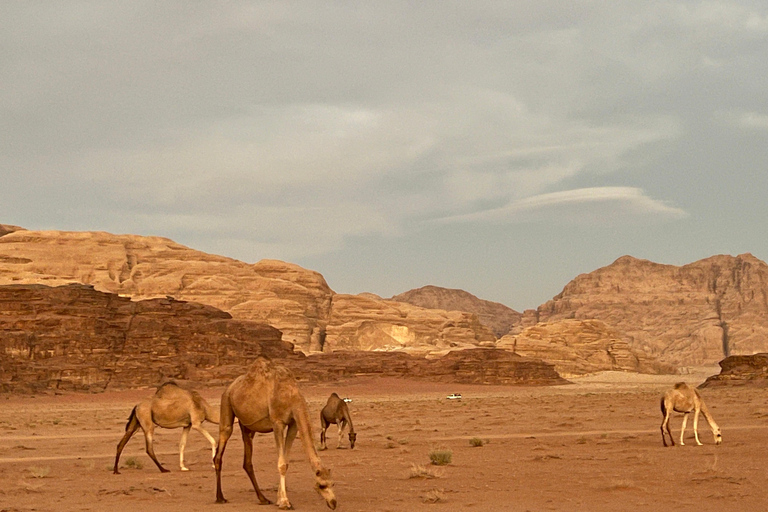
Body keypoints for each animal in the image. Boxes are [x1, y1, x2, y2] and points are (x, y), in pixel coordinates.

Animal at [214, 357, 337, 510]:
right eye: (321, 485)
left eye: (333, 483)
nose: (333, 503)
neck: (291, 395)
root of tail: (230, 388)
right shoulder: (277, 422)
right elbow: (282, 464)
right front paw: (284, 502)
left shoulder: (293, 423)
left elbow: (286, 462)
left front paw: (279, 499)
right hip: (226, 404)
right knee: (220, 448)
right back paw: (220, 498)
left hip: (247, 425)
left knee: (247, 460)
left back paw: (263, 499)